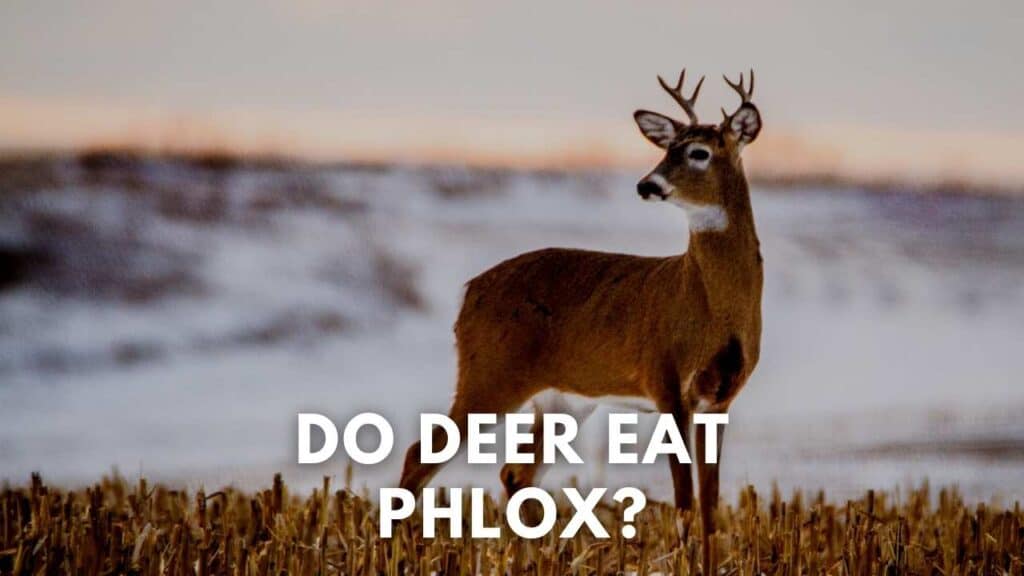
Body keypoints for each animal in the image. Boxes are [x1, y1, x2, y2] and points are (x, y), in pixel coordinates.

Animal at [399, 67, 763, 569]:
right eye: (666, 147)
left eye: (698, 152)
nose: (646, 185)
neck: (711, 308)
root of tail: (468, 292)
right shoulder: (666, 380)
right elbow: (684, 500)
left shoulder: (721, 399)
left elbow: (710, 504)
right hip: (490, 373)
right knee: (421, 454)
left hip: (562, 399)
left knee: (515, 473)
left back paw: (526, 560)